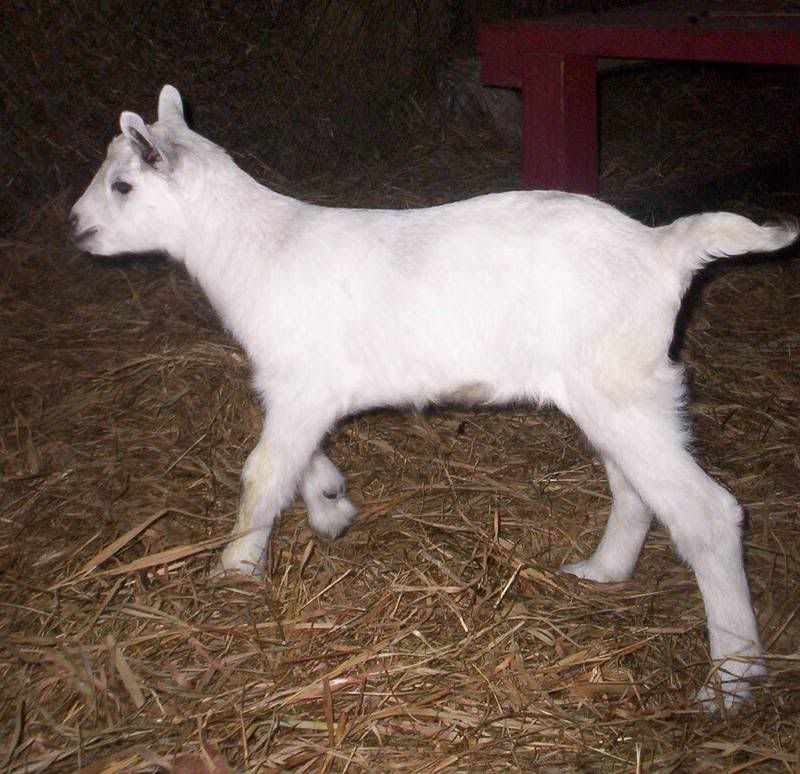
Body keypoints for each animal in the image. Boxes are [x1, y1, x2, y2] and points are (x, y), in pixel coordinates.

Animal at [70, 85, 797, 709]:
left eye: (123, 185)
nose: (75, 225)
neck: (257, 248)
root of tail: (662, 249)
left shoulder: (298, 383)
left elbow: (264, 474)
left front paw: (235, 567)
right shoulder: (309, 388)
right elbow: (299, 461)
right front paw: (331, 504)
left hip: (622, 389)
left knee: (708, 514)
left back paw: (730, 682)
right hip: (619, 390)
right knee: (637, 490)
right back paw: (601, 571)